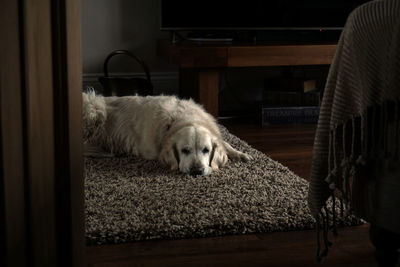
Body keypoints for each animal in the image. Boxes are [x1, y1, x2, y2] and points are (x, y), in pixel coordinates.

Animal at [82, 91, 252, 177]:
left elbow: (226, 143)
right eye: (185, 150)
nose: (196, 171)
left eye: (206, 150)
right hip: (95, 109)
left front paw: (240, 154)